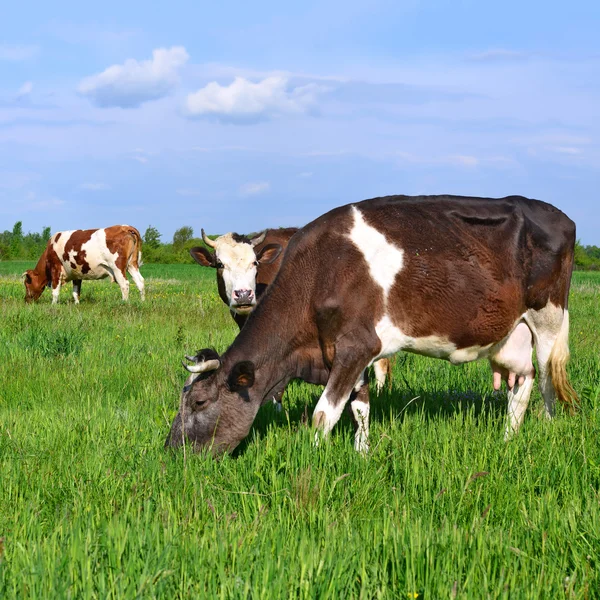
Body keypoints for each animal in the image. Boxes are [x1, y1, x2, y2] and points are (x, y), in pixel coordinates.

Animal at [166, 196, 580, 454]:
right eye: (220, 264)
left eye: (200, 401)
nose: (172, 451)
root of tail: (560, 216)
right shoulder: (348, 349)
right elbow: (360, 408)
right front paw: (363, 453)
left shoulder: (357, 346)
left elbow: (323, 414)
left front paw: (312, 462)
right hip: (510, 333)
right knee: (522, 380)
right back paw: (507, 439)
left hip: (547, 318)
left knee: (546, 379)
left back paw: (545, 428)